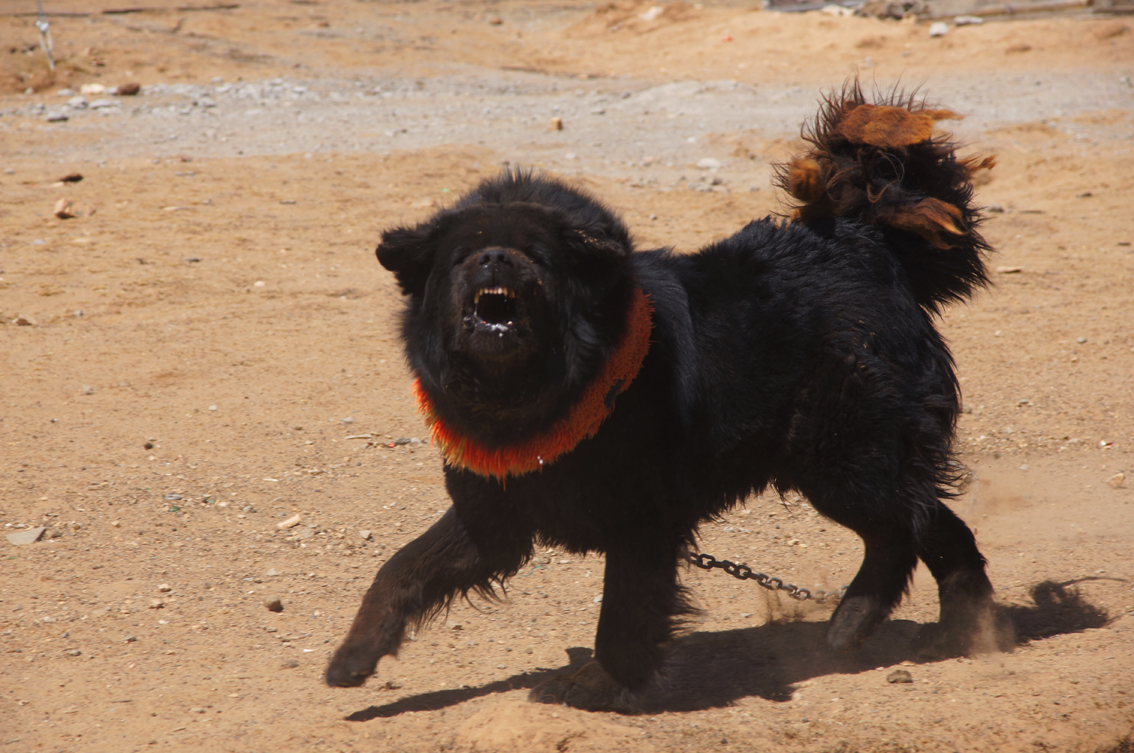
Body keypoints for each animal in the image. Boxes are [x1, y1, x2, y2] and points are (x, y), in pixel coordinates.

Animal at [326, 85, 1002, 707]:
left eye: (537, 256)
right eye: (462, 255)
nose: (495, 257)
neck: (538, 394)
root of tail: (865, 243)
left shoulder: (643, 520)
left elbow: (622, 619)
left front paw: (602, 684)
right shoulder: (493, 514)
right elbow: (400, 571)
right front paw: (354, 656)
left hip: (845, 458)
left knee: (905, 529)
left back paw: (873, 623)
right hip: (850, 462)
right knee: (932, 525)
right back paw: (943, 629)